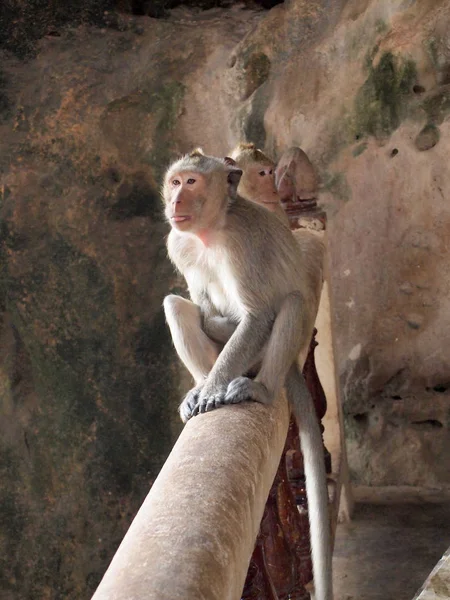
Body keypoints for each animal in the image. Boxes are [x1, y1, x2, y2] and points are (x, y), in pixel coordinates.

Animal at [163, 150, 332, 600]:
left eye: (191, 182)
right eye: (175, 182)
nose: (175, 201)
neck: (209, 232)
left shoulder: (245, 240)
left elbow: (257, 315)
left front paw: (213, 389)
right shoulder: (178, 243)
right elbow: (202, 310)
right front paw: (203, 389)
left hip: (271, 357)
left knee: (290, 305)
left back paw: (259, 389)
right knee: (176, 305)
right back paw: (201, 385)